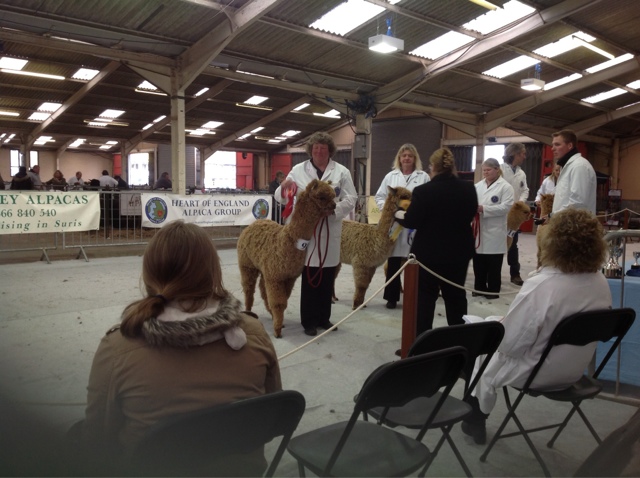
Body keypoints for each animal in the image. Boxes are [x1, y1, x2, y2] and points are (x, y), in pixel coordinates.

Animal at [237, 179, 336, 338]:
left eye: (333, 195)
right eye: (322, 197)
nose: (334, 206)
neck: (290, 241)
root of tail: (253, 224)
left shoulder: (288, 277)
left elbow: (283, 301)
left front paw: (278, 322)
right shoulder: (276, 277)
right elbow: (278, 303)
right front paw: (277, 331)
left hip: (265, 270)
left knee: (262, 289)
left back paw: (271, 315)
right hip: (247, 264)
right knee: (248, 289)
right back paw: (249, 312)